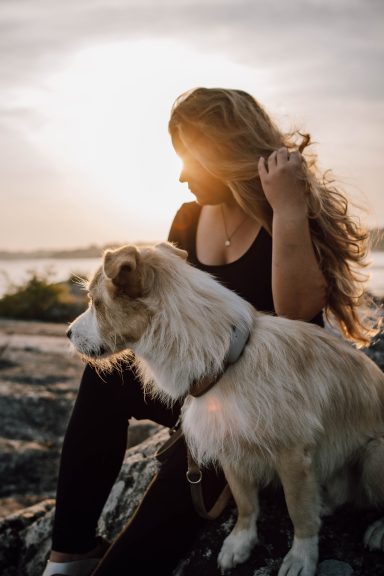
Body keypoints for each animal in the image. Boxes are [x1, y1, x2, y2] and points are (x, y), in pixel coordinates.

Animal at [67, 241, 384, 572]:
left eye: (95, 304)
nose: (67, 333)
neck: (223, 361)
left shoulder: (293, 453)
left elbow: (297, 510)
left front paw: (301, 556)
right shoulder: (228, 446)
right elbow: (245, 502)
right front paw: (240, 541)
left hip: (375, 456)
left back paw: (376, 530)